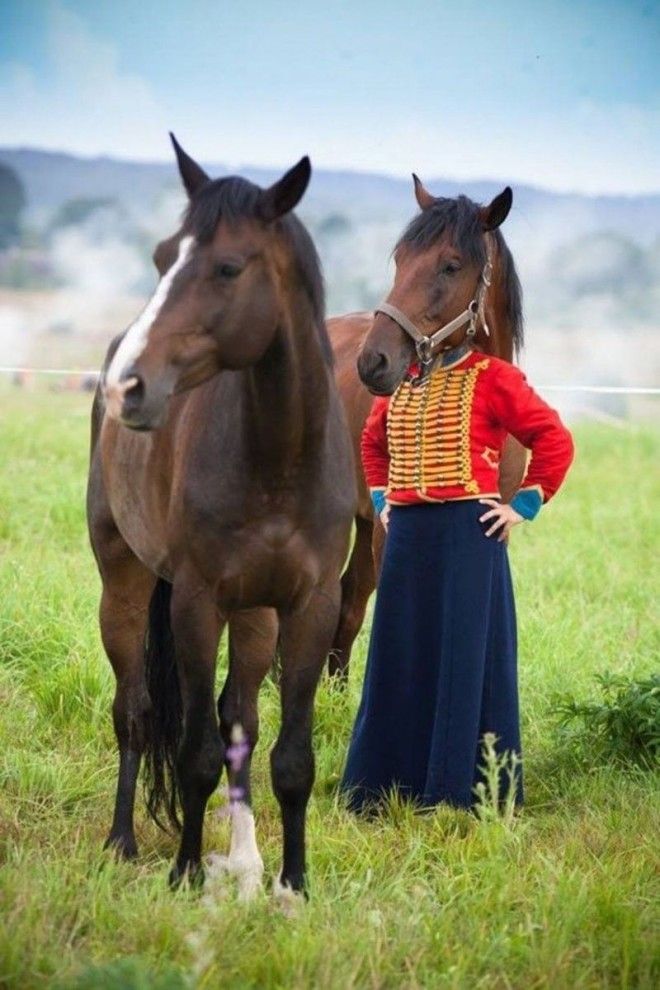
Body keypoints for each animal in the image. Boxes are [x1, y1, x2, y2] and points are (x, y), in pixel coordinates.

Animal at [88, 136, 358, 904]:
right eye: (161, 256)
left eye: (229, 267)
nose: (128, 386)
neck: (277, 461)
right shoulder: (197, 602)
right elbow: (196, 753)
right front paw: (183, 870)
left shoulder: (310, 606)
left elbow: (289, 755)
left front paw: (292, 883)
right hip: (124, 586)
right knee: (136, 712)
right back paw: (123, 841)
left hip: (256, 615)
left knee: (242, 718)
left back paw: (245, 860)